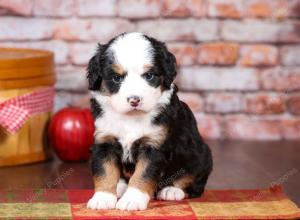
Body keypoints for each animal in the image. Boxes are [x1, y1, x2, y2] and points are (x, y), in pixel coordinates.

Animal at [86, 32, 213, 211]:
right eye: (117, 78)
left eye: (149, 76)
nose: (134, 100)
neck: (131, 118)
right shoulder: (105, 141)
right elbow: (105, 171)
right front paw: (102, 198)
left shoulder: (154, 146)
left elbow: (142, 175)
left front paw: (132, 200)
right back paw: (120, 186)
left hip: (200, 154)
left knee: (193, 179)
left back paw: (172, 190)